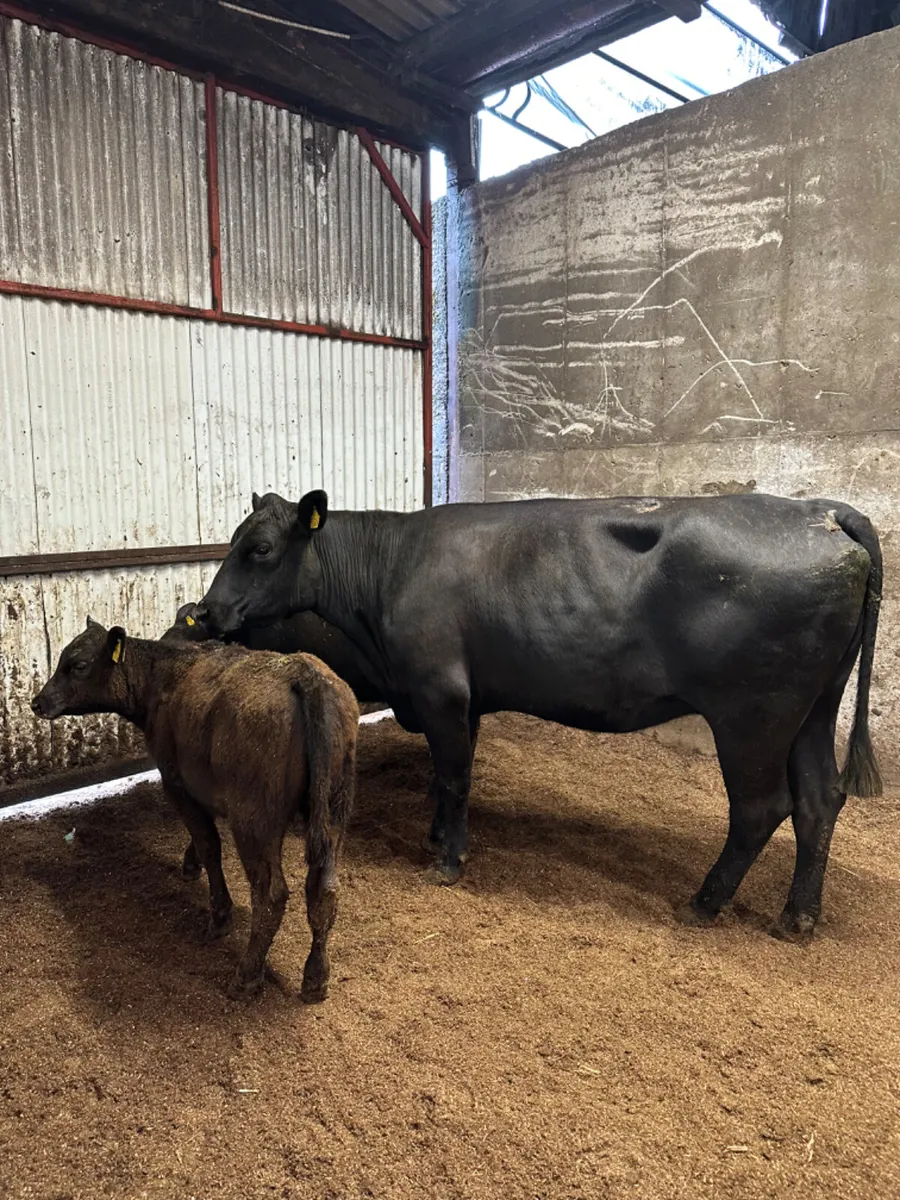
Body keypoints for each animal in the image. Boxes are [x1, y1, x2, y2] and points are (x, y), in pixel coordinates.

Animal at [31, 618, 358, 1002]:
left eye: (79, 665)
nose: (37, 702)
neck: (162, 675)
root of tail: (304, 673)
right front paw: (190, 863)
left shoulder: (176, 783)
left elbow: (209, 844)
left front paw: (220, 915)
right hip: (334, 809)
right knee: (324, 891)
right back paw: (315, 977)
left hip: (255, 820)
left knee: (271, 895)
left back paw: (247, 975)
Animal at [195, 489, 883, 941]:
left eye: (259, 547)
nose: (204, 612)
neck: (389, 570)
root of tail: (821, 511)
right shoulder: (461, 697)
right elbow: (448, 777)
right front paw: (438, 836)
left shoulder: (440, 689)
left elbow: (455, 777)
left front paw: (448, 862)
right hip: (814, 709)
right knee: (820, 799)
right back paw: (797, 918)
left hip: (752, 716)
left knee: (761, 808)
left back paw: (704, 903)